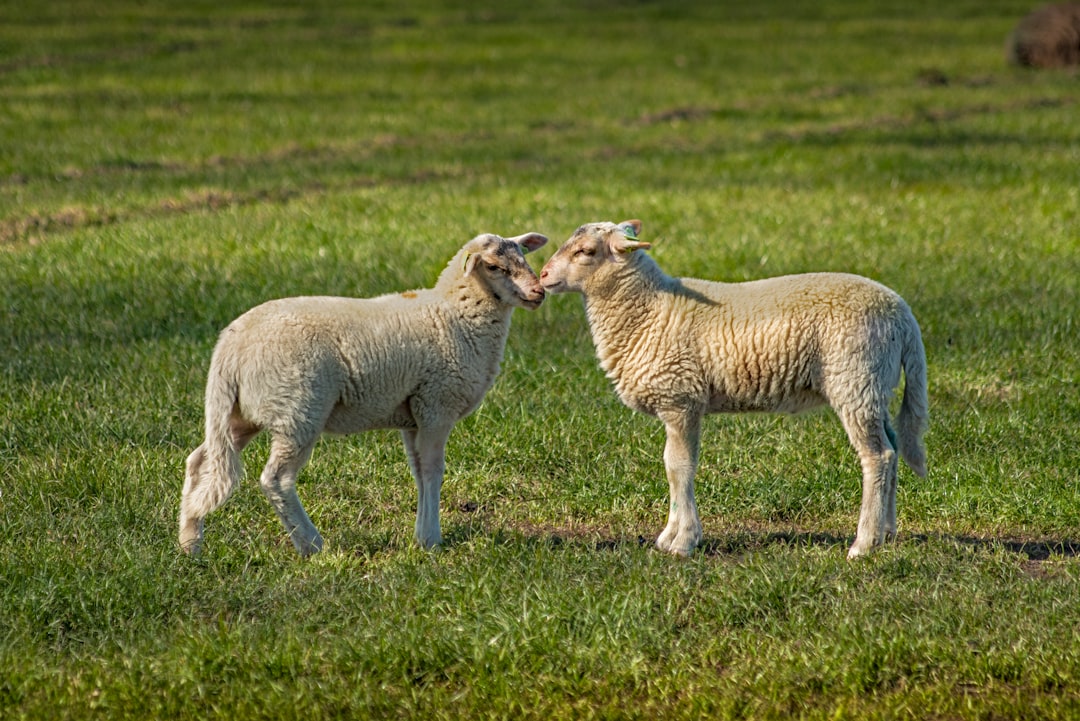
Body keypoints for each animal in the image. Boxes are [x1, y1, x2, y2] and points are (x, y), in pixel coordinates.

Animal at [179, 230, 548, 556]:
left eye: (524, 256)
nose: (539, 291)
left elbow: (418, 471)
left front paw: (421, 534)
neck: (452, 312)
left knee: (200, 460)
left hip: (243, 413)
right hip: (298, 409)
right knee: (276, 479)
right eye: (495, 267)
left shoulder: (413, 413)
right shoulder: (436, 404)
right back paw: (312, 545)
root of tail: (230, 346)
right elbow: (433, 470)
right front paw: (432, 539)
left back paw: (190, 542)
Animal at [540, 218, 928, 556]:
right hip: (874, 384)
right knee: (893, 448)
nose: (543, 275)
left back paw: (863, 544)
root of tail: (903, 315)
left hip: (854, 377)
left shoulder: (681, 399)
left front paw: (683, 541)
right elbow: (671, 467)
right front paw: (668, 536)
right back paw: (886, 533)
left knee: (878, 456)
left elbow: (679, 467)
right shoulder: (678, 402)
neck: (650, 309)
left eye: (586, 251)